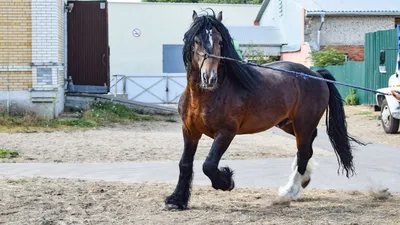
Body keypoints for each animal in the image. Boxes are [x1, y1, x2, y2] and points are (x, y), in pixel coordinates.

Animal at [163, 8, 366, 209]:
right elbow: (185, 164)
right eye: (196, 41)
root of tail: (316, 75)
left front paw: (227, 181)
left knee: (304, 152)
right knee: (308, 146)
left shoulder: (226, 132)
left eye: (220, 42)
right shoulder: (189, 131)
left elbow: (209, 165)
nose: (209, 78)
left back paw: (288, 192)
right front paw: (176, 200)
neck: (207, 96)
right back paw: (303, 179)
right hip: (288, 124)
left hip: (303, 124)